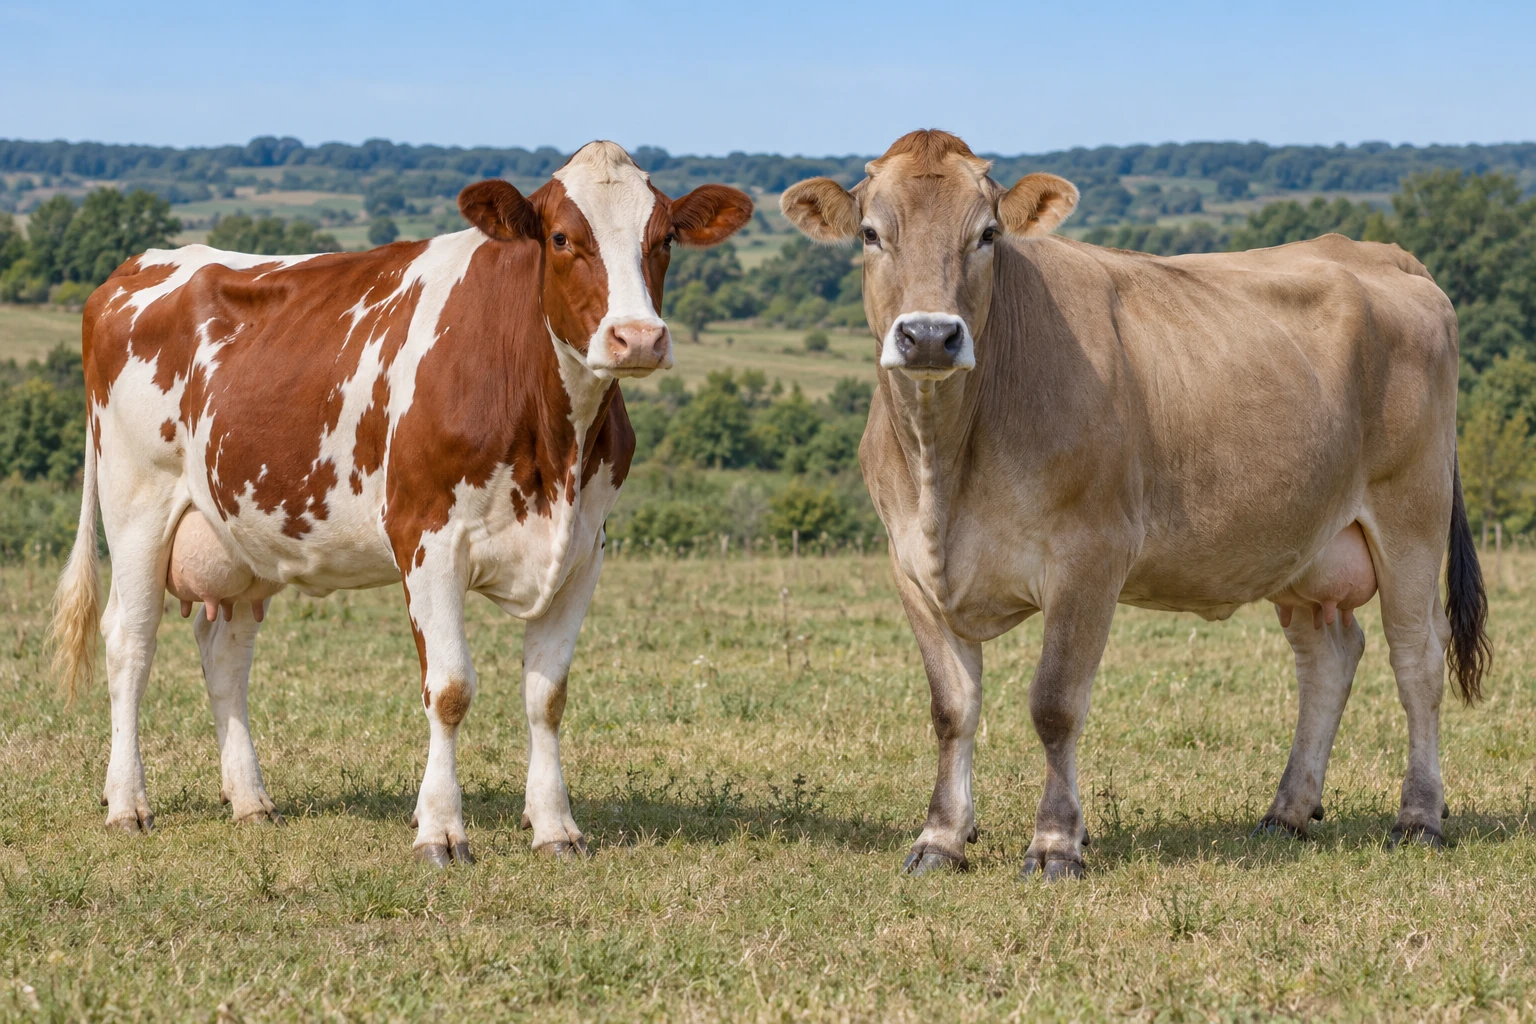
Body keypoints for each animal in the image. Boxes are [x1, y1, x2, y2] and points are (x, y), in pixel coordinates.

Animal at [48, 141, 753, 866]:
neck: (553, 444)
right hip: (135, 502)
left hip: (242, 532)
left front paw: (556, 825)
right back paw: (127, 804)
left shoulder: (585, 550)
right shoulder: (428, 538)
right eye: (561, 238)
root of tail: (136, 268)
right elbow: (450, 689)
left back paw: (251, 802)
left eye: (663, 239)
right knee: (130, 643)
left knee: (225, 654)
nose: (638, 338)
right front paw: (440, 831)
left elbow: (547, 695)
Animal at [780, 129, 1490, 880]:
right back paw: (1286, 813)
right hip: (1304, 544)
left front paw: (1056, 843)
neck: (945, 464)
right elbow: (952, 709)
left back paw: (1419, 818)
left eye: (988, 234)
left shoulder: (1090, 556)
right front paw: (941, 838)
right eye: (870, 233)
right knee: (1327, 654)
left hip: (1411, 515)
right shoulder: (912, 566)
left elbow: (1055, 704)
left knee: (1417, 659)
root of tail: (1376, 252)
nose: (928, 336)